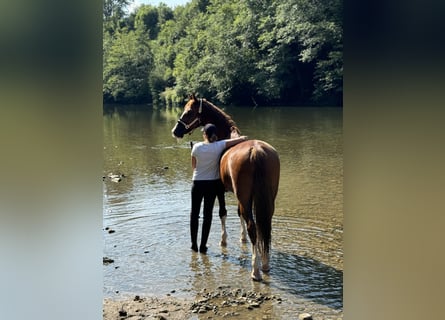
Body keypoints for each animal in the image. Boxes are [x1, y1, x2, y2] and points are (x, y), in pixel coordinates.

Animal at [170, 93, 278, 280]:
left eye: (189, 111)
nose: (175, 131)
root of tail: (256, 151)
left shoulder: (219, 189)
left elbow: (223, 213)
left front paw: (224, 240)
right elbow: (239, 214)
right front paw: (241, 238)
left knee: (253, 227)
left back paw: (255, 270)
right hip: (267, 198)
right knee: (264, 225)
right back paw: (265, 264)